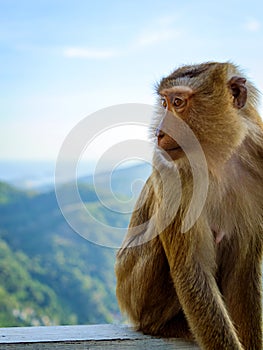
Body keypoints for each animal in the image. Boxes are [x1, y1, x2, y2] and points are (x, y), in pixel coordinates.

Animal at [115, 63, 263, 350]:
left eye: (178, 103)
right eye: (164, 103)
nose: (160, 132)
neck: (218, 161)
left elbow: (244, 273)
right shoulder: (173, 171)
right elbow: (190, 270)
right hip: (132, 291)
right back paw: (162, 326)